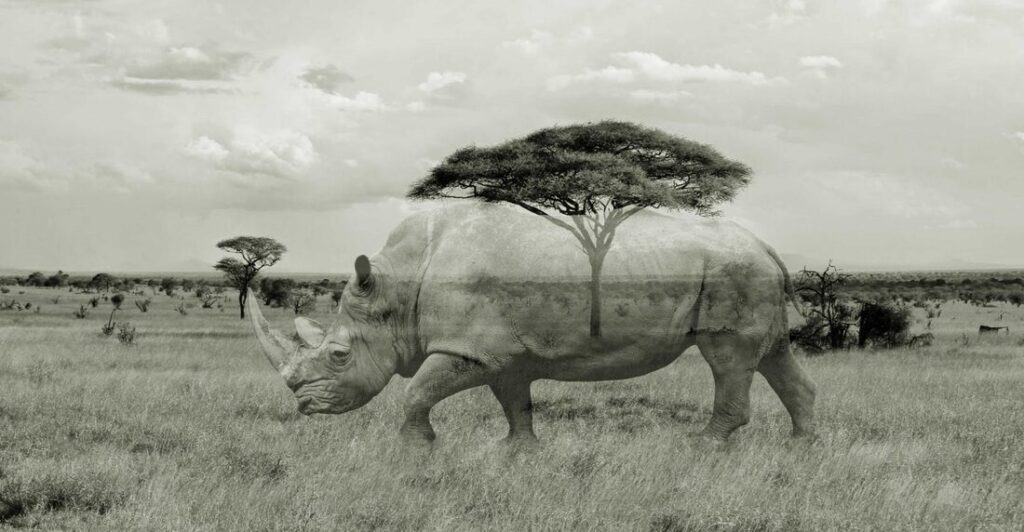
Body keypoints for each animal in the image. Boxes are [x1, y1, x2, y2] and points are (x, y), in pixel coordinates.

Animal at [249, 202, 816, 445]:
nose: (306, 405)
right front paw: (518, 452)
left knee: (728, 359)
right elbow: (515, 402)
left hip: (734, 274)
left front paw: (416, 450)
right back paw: (801, 448)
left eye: (339, 355)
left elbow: (416, 392)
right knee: (773, 356)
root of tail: (765, 244)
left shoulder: (468, 348)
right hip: (750, 273)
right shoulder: (502, 353)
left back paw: (703, 448)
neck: (396, 286)